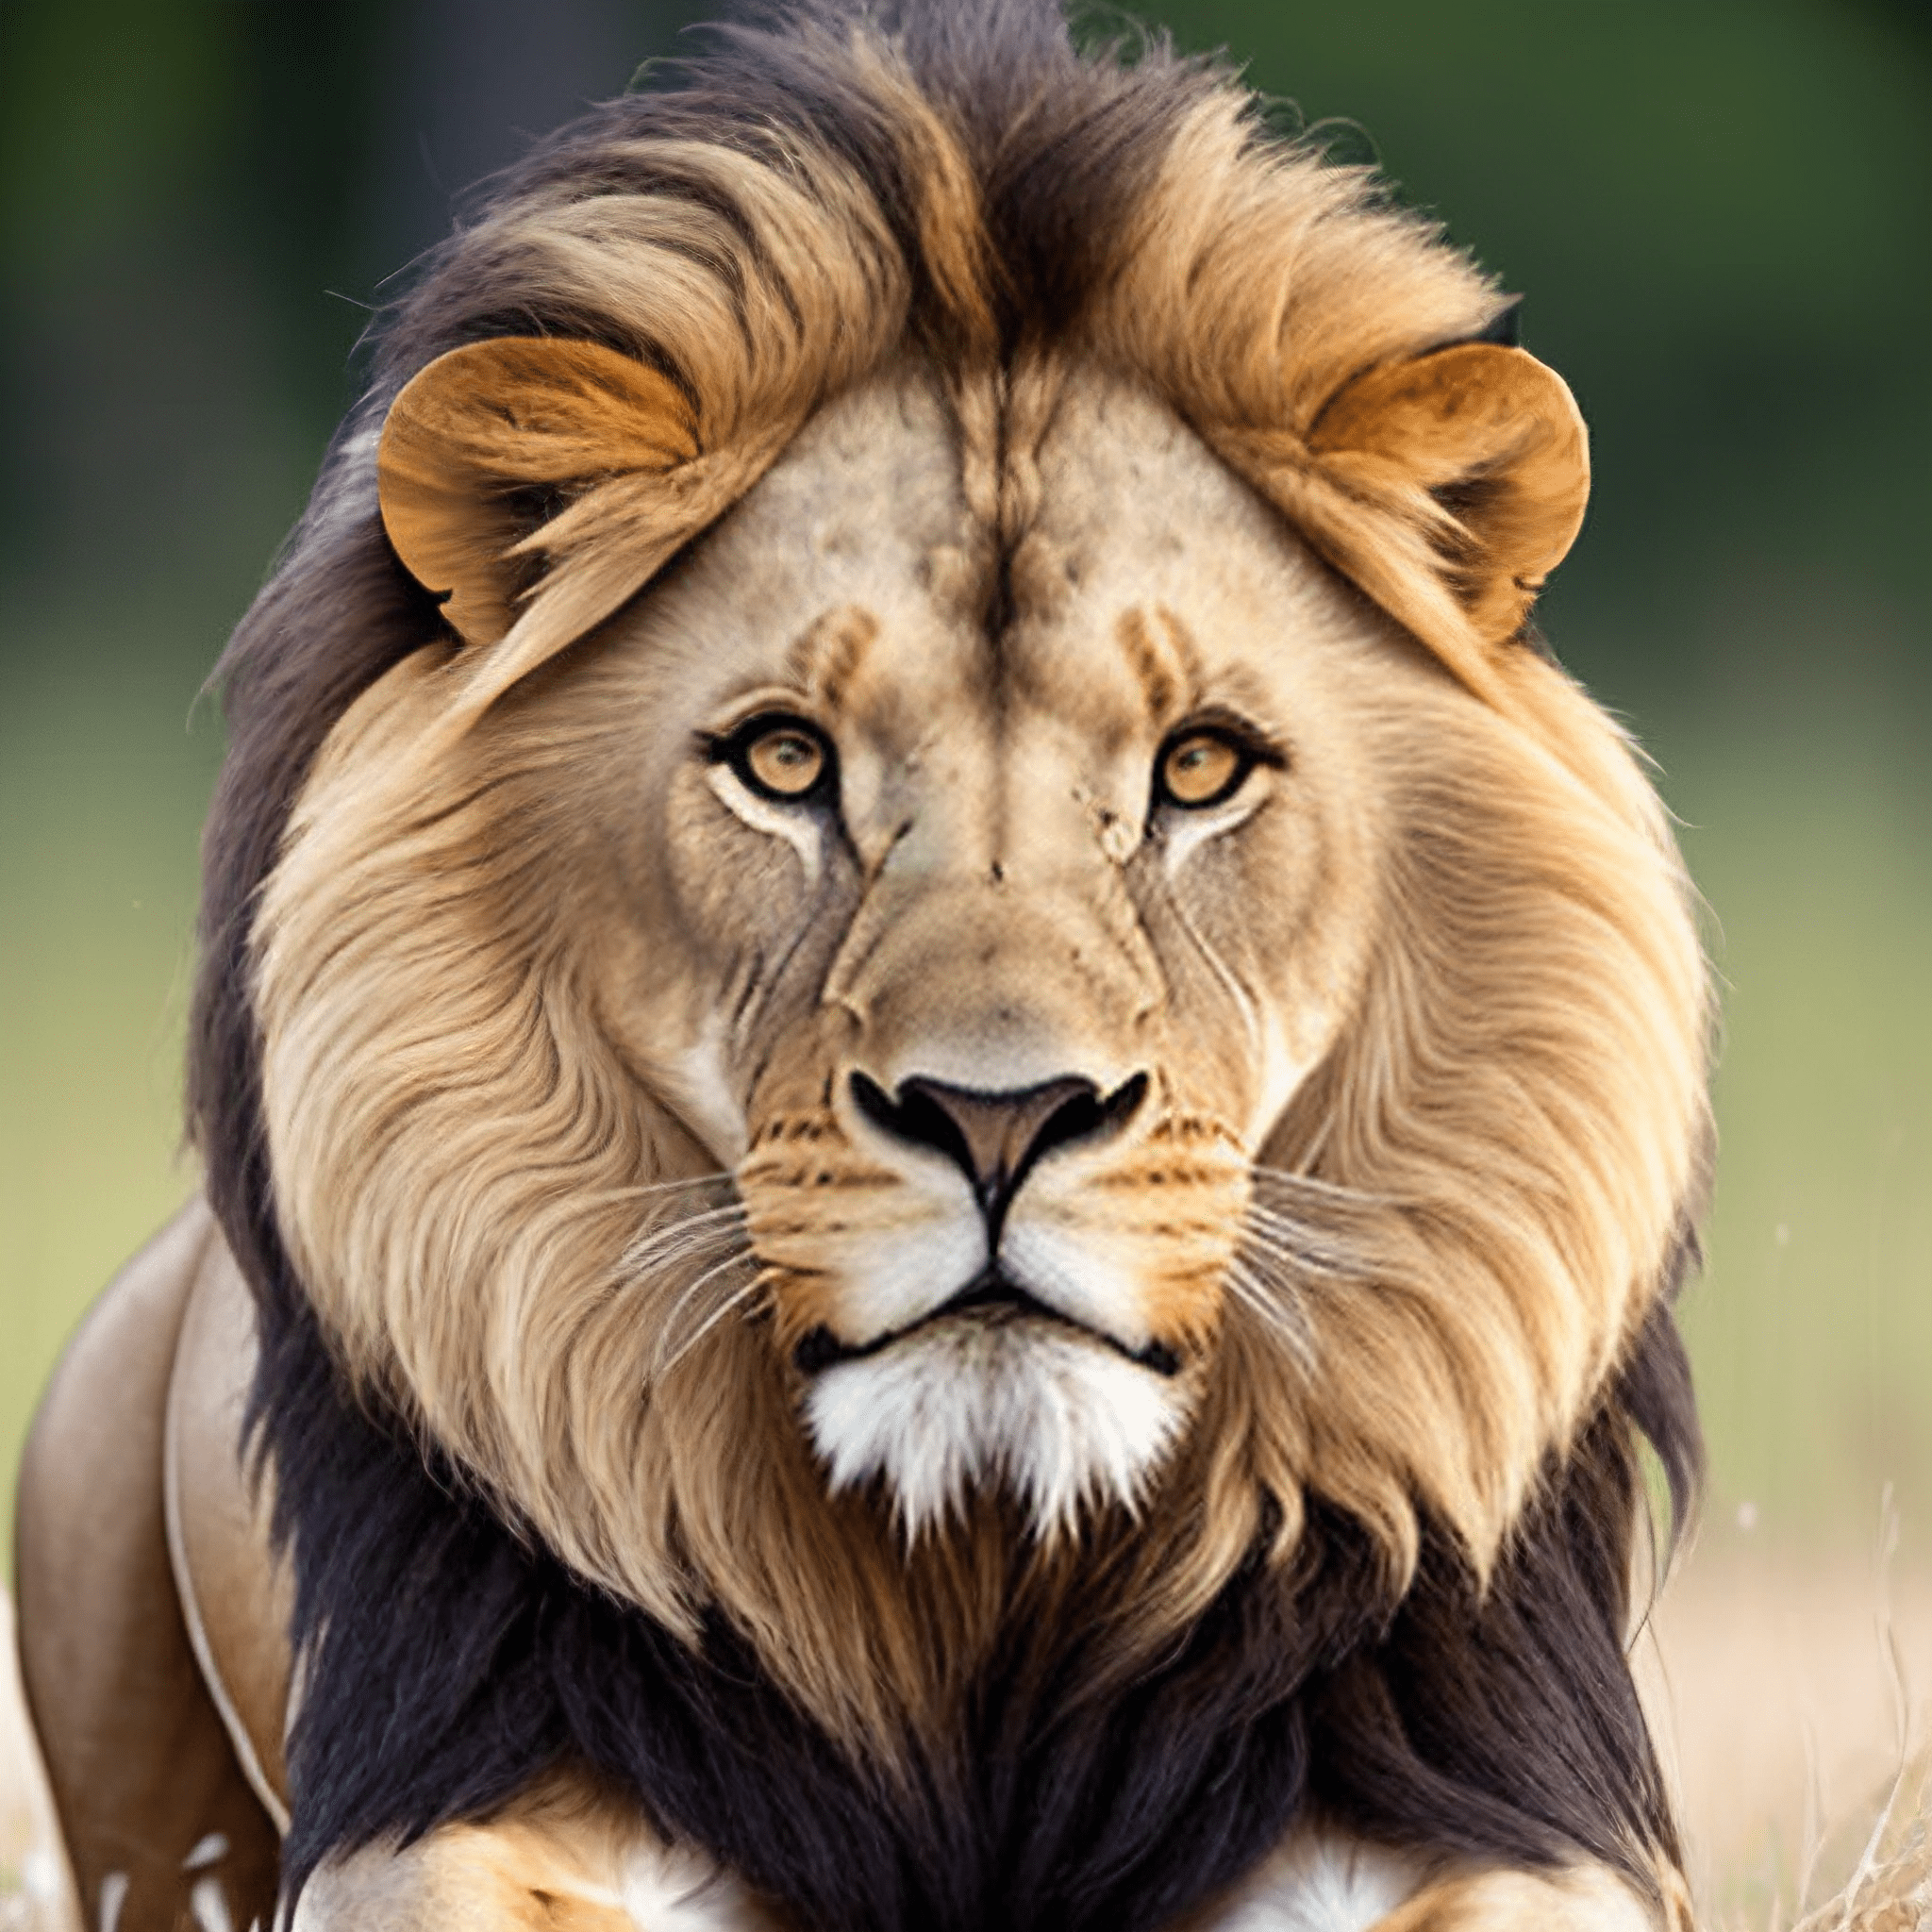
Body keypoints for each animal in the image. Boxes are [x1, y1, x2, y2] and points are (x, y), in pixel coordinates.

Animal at [14, 3, 1713, 1929]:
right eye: (783, 761)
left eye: (1199, 766)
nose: (1001, 1120)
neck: (975, 1566)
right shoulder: (441, 1779)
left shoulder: (1493, 1791)